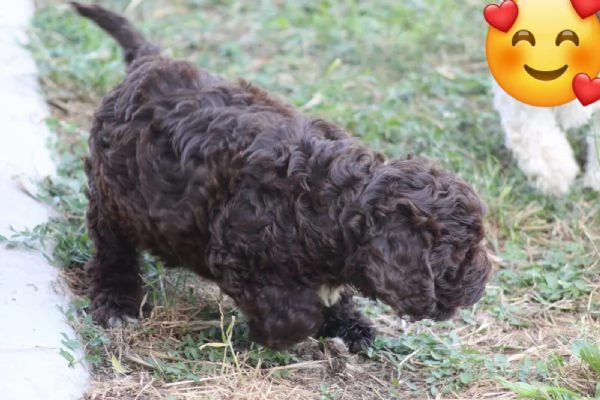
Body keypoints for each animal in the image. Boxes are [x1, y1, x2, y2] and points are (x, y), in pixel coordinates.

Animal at [70, 2, 492, 354]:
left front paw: (351, 325)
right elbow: (293, 311)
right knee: (112, 244)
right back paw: (118, 301)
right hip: (115, 193)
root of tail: (148, 60)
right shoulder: (238, 253)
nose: (484, 279)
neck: (343, 201)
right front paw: (280, 333)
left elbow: (335, 295)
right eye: (462, 254)